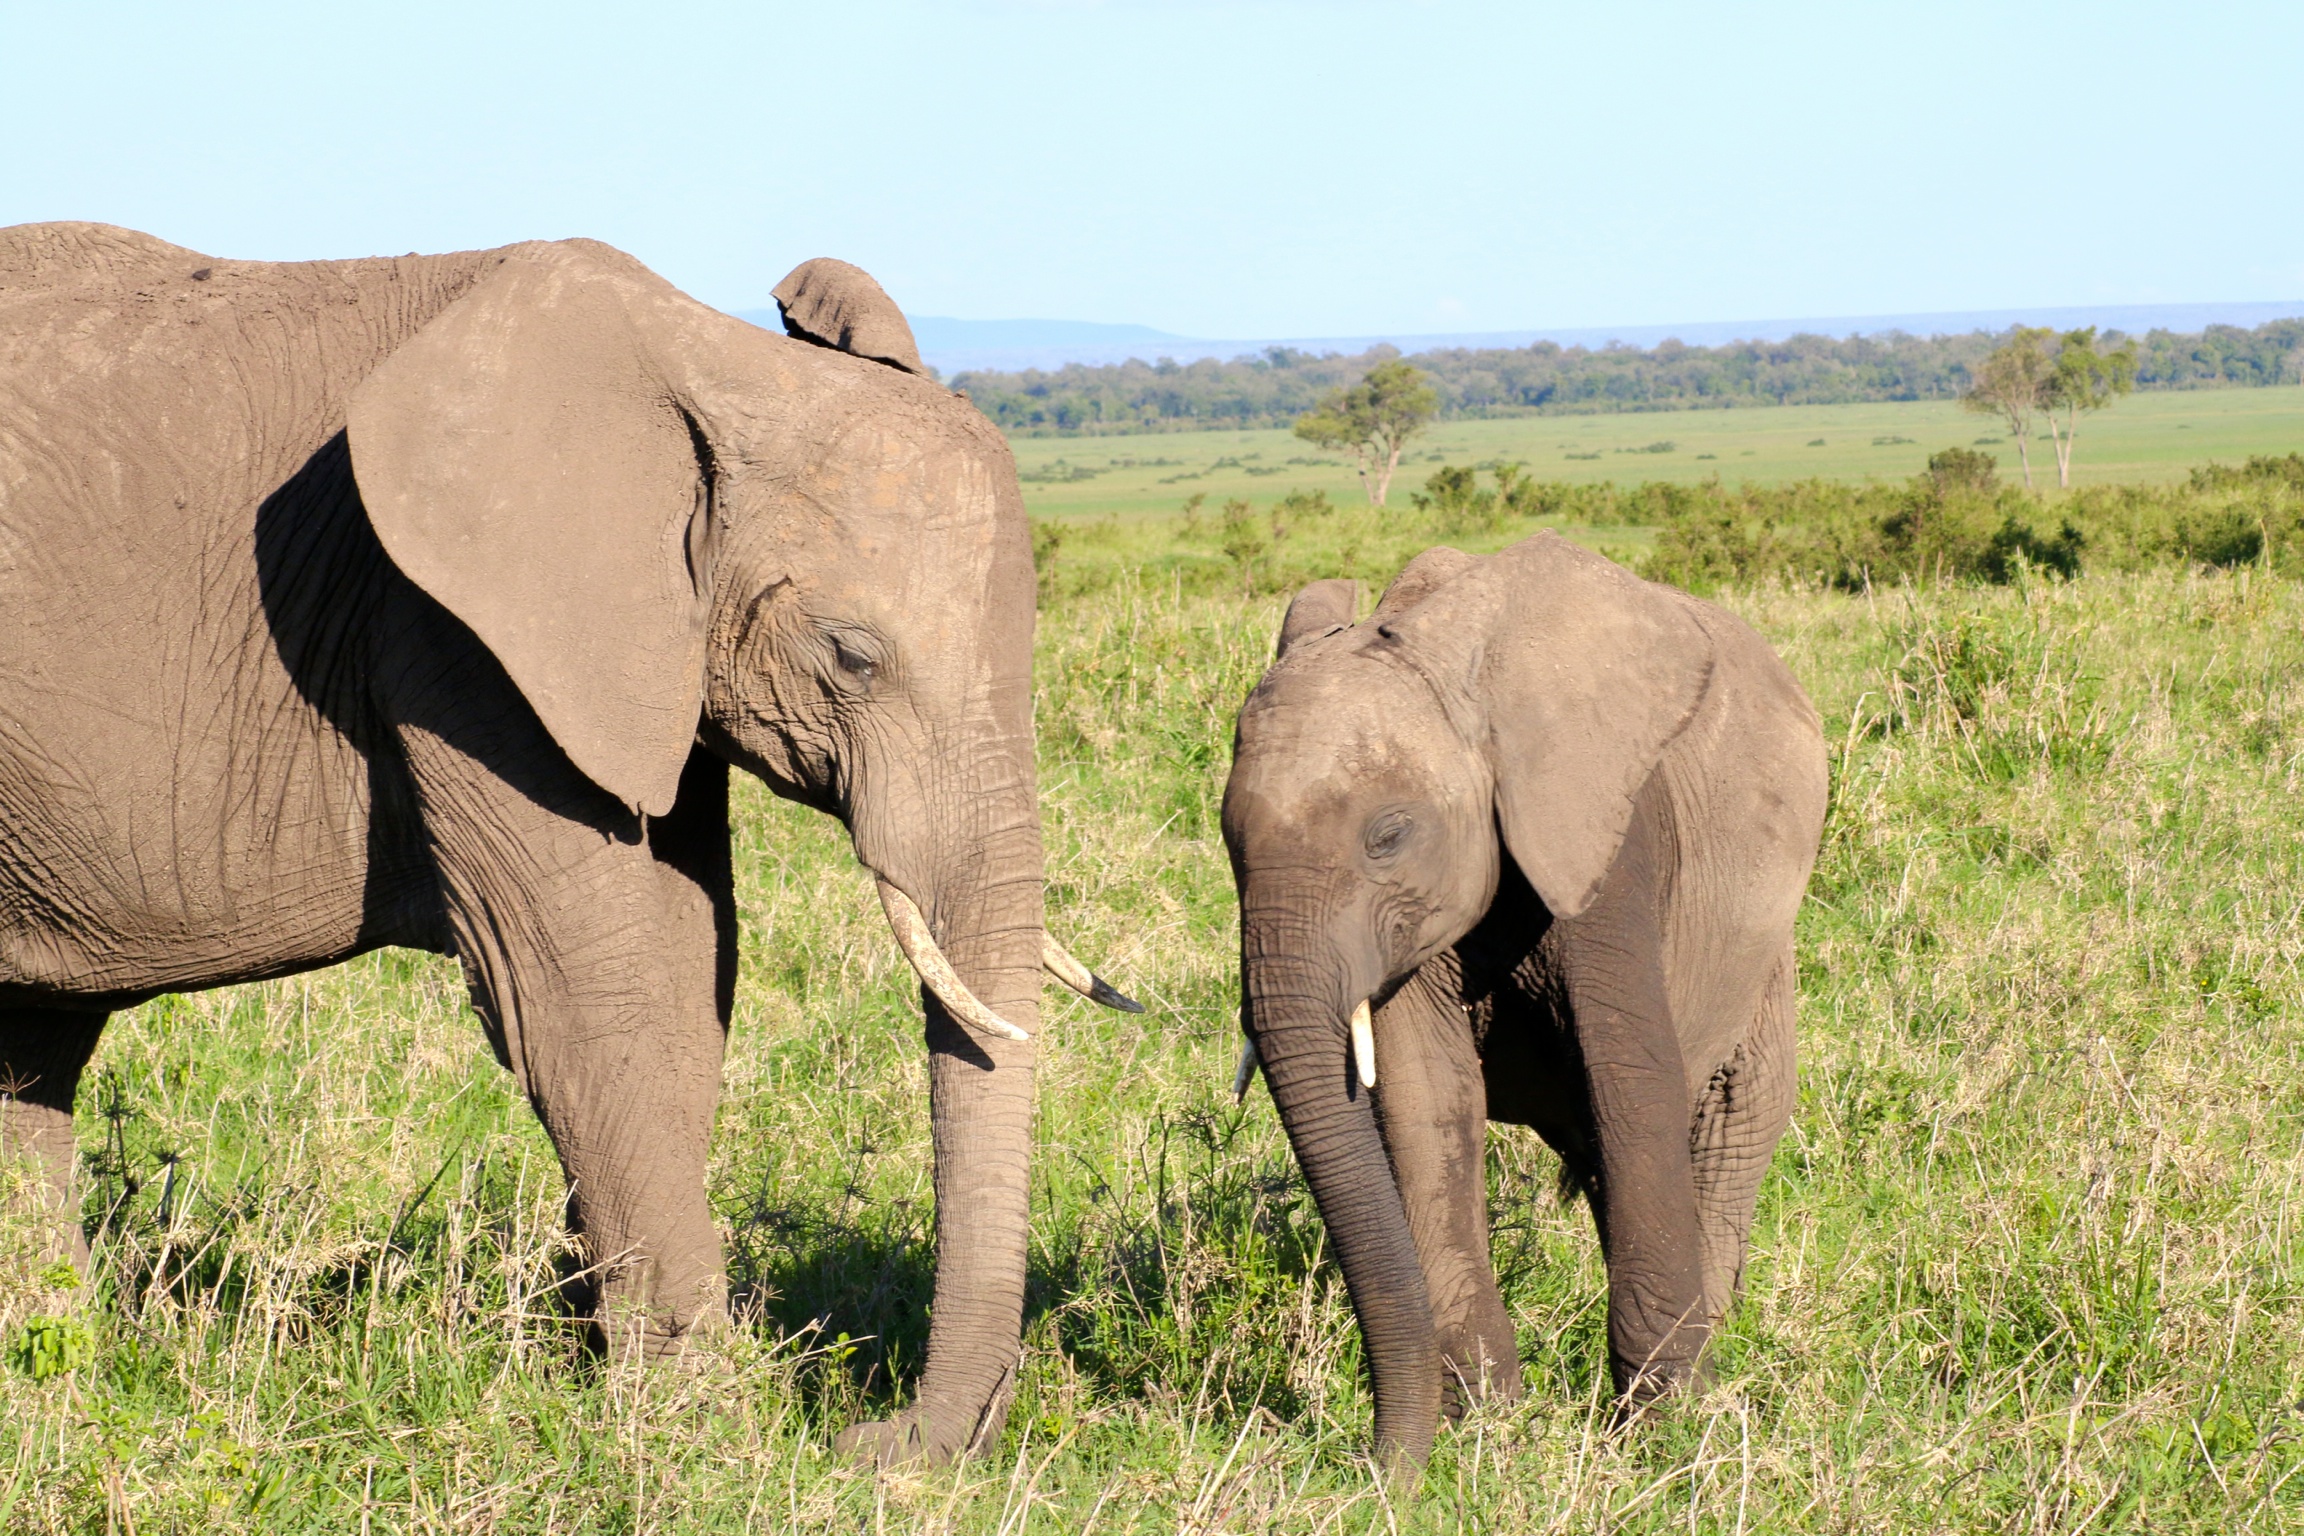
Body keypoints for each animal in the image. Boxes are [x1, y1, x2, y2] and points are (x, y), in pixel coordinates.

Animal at [0, 225, 1133, 1464]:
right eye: (851, 657)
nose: (877, 1441)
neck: (717, 362)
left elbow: (688, 972)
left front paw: (612, 1373)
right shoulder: (454, 636)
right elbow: (586, 990)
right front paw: (704, 1426)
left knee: (32, 1053)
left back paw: (57, 1368)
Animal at [1216, 534, 1824, 1473]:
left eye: (1388, 835)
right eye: (1226, 839)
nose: (1375, 1468)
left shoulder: (1601, 833)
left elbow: (1630, 1080)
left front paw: (1661, 1438)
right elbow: (1425, 1104)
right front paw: (1488, 1428)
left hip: (1762, 964)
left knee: (1725, 1116)